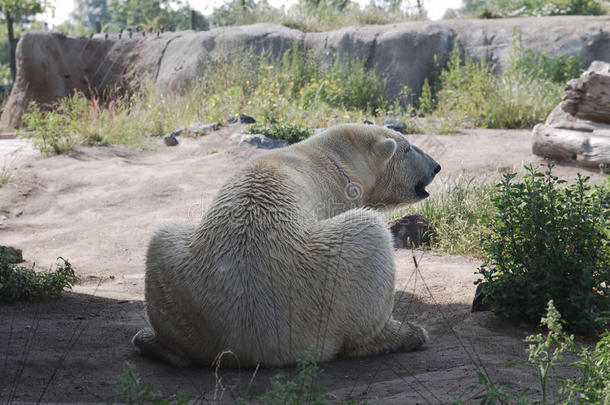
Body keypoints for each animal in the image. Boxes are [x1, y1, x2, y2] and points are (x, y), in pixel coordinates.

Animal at [132, 122, 436, 366]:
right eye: (408, 148)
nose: (436, 166)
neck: (334, 157)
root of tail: (248, 340)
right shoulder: (339, 197)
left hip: (182, 278)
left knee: (161, 240)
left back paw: (150, 341)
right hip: (319, 291)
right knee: (367, 234)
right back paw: (409, 333)